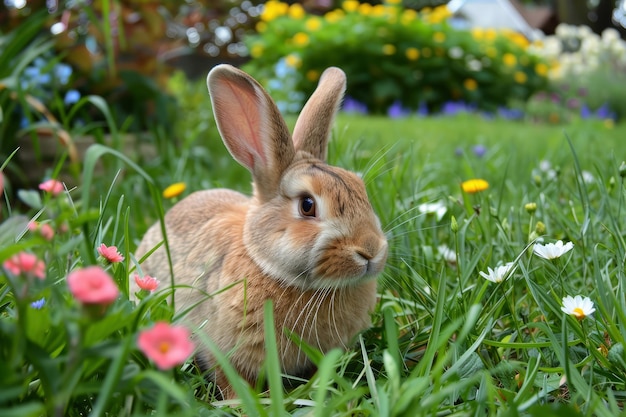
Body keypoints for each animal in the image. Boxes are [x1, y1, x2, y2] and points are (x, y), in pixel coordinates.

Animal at [135, 63, 388, 398]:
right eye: (307, 205)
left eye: (361, 189)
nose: (371, 250)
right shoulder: (224, 350)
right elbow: (232, 380)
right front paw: (240, 402)